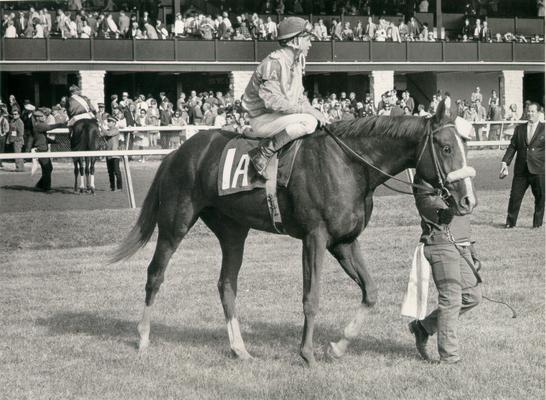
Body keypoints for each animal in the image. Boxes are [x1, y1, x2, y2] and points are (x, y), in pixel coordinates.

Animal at [112, 99, 474, 366]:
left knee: (226, 284)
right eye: (445, 147)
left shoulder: (344, 241)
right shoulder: (315, 238)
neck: (349, 164)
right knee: (155, 274)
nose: (468, 199)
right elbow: (311, 298)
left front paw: (338, 346)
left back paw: (239, 348)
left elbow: (370, 292)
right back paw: (143, 337)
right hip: (176, 222)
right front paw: (307, 354)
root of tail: (177, 152)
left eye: (464, 145)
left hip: (232, 230)